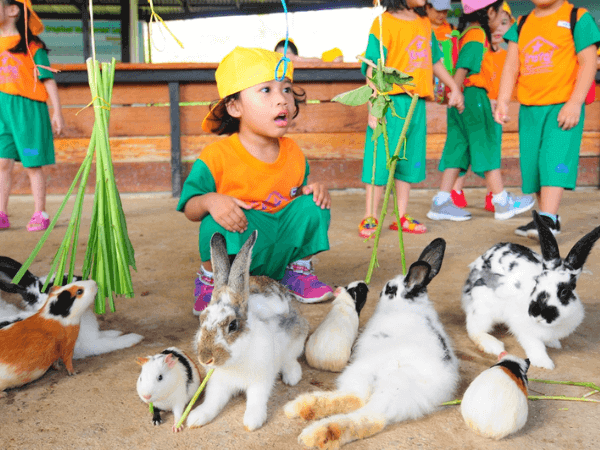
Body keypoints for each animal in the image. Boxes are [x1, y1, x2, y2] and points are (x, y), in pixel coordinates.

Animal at [188, 232, 310, 432]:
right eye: (202, 319)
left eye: (232, 325)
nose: (206, 359)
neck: (235, 360)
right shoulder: (218, 383)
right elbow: (213, 401)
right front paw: (196, 418)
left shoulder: (260, 381)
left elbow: (256, 399)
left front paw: (252, 421)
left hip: (297, 335)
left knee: (291, 359)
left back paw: (292, 376)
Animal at [286, 237, 460, 448]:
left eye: (391, 289)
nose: (381, 292)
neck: (407, 306)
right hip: (365, 374)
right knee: (356, 398)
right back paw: (300, 408)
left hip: (386, 387)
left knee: (366, 416)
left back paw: (315, 432)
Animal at [464, 211, 600, 370]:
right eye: (537, 282)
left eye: (564, 291)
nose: (538, 313)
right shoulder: (525, 331)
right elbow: (535, 345)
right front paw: (544, 363)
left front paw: (554, 343)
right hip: (483, 307)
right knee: (474, 329)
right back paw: (493, 345)